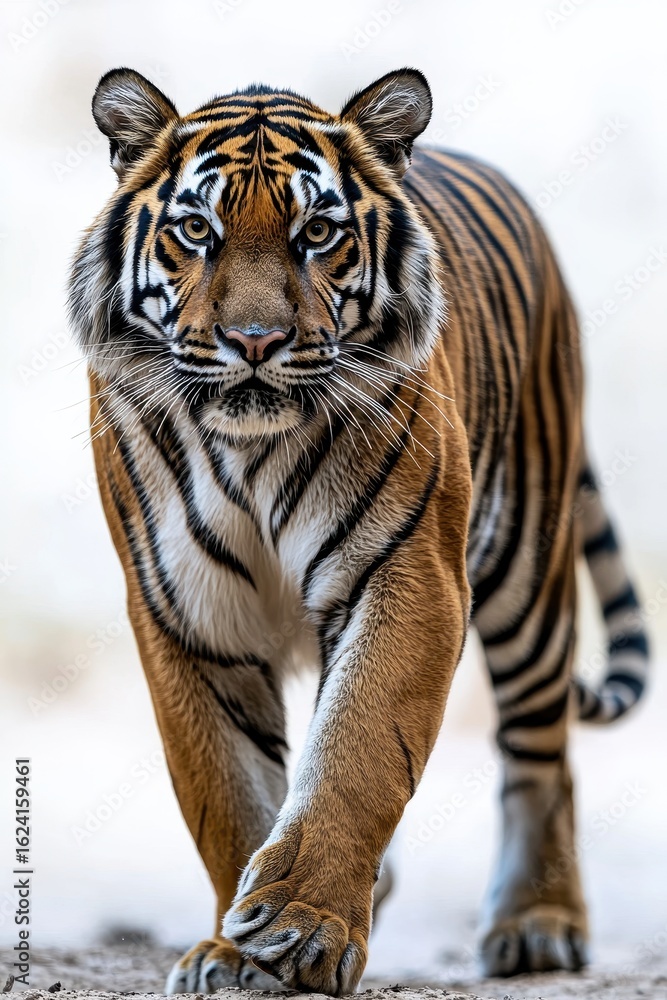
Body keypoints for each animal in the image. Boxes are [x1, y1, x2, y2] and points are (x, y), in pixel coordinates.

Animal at [68, 66, 650, 995]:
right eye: (197, 230)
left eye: (317, 232)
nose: (254, 341)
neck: (251, 451)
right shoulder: (186, 609)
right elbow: (227, 790)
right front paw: (235, 951)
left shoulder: (407, 574)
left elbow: (359, 749)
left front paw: (303, 929)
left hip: (527, 564)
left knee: (540, 750)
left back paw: (537, 924)